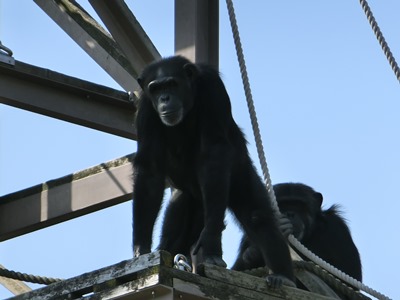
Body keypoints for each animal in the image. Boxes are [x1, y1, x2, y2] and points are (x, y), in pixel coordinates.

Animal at [133, 55, 296, 288]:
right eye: (155, 89)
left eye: (171, 84)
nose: (164, 98)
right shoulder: (146, 108)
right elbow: (150, 172)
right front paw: (141, 250)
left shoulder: (213, 88)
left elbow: (214, 150)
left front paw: (210, 241)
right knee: (180, 202)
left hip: (237, 173)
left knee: (257, 215)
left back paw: (282, 275)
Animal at [231, 182, 362, 282]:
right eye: (282, 205)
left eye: (299, 205)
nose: (290, 213)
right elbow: (238, 271)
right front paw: (253, 252)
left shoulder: (337, 228)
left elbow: (347, 273)